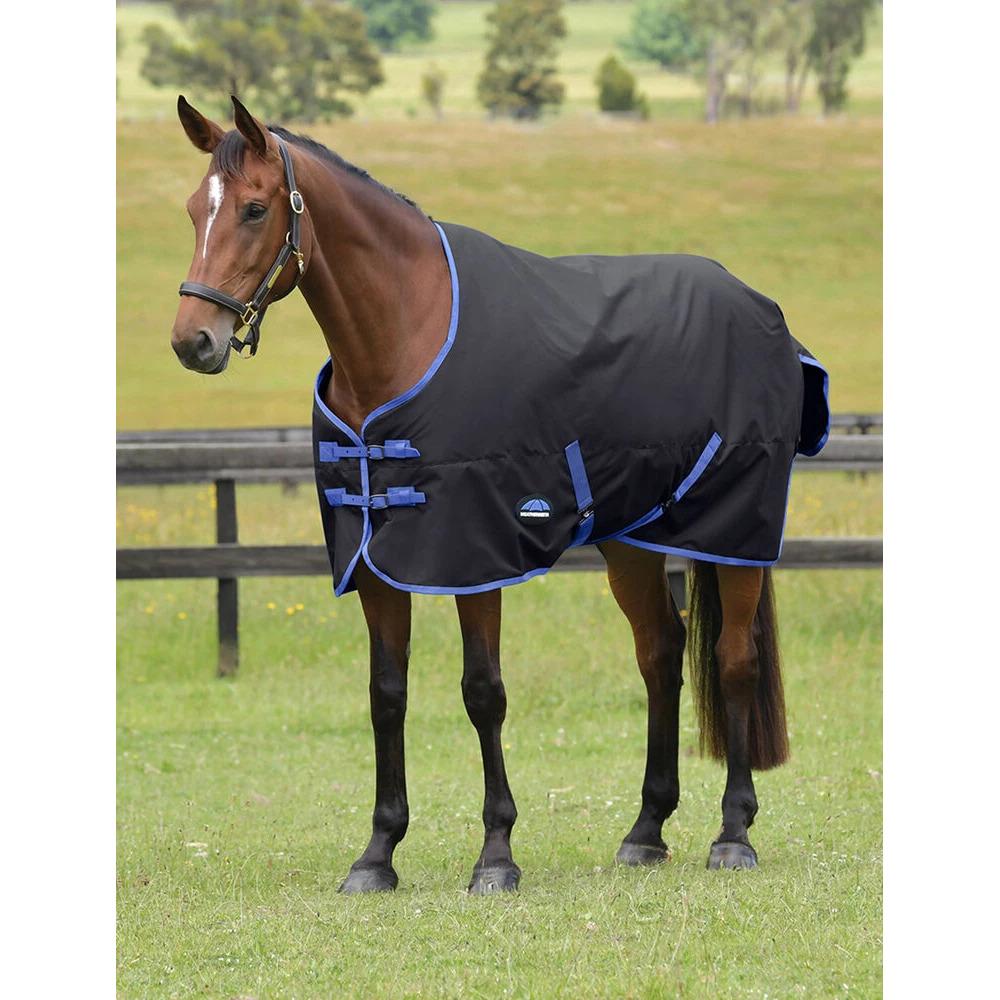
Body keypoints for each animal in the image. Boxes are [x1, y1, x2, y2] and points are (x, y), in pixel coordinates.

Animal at [169, 96, 829, 894]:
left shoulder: (472, 555)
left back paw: (733, 833)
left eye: (256, 209)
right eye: (193, 211)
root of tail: (762, 308)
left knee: (733, 659)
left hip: (732, 534)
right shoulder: (374, 562)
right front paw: (377, 854)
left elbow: (483, 692)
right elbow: (385, 694)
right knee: (661, 654)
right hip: (631, 540)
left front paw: (496, 855)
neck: (406, 336)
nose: (193, 341)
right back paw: (645, 830)